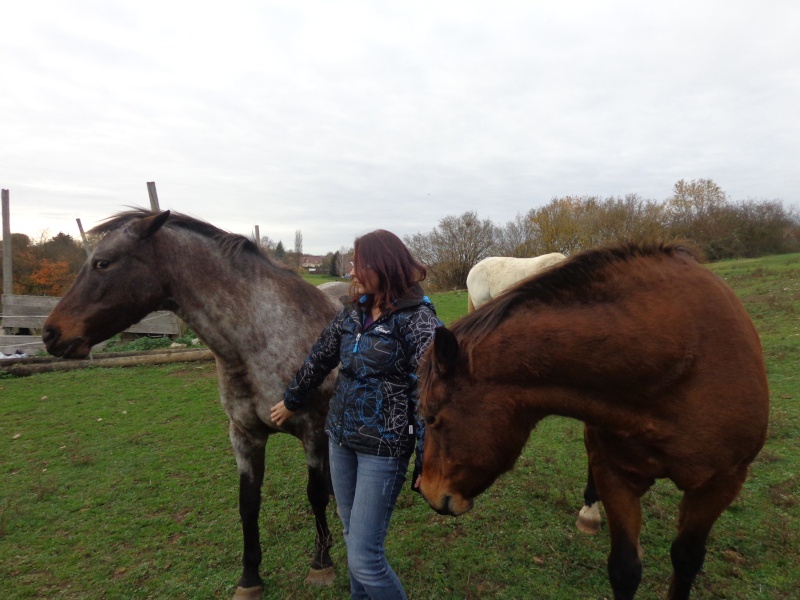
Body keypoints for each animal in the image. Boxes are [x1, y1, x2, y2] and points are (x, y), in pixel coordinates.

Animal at [43, 209, 340, 596]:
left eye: (102, 263)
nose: (50, 333)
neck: (262, 335)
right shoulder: (244, 435)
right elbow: (248, 504)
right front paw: (249, 578)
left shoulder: (313, 430)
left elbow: (314, 494)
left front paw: (321, 563)